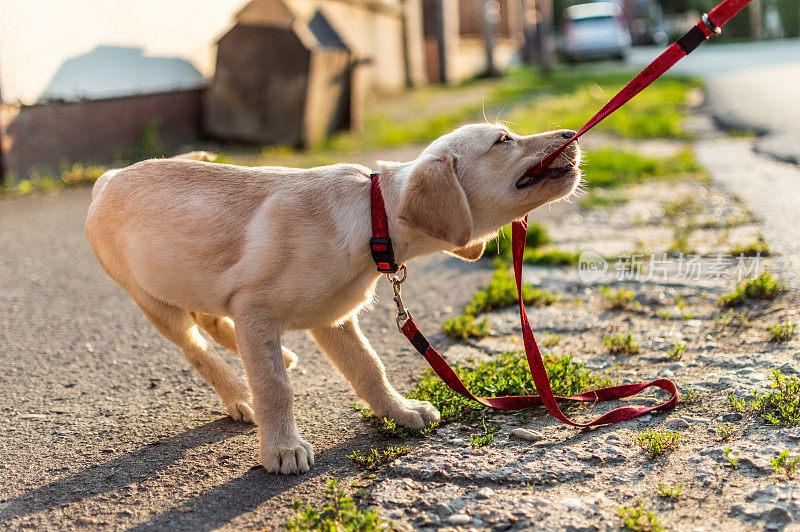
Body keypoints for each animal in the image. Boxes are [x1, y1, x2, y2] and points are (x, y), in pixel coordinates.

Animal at [84, 124, 580, 474]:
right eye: (503, 140)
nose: (570, 135)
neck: (372, 217)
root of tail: (107, 176)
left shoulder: (332, 319)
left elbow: (369, 369)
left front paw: (400, 411)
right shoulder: (255, 310)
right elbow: (274, 387)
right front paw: (282, 448)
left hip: (194, 279)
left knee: (212, 322)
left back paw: (276, 358)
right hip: (154, 300)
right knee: (196, 348)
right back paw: (240, 395)